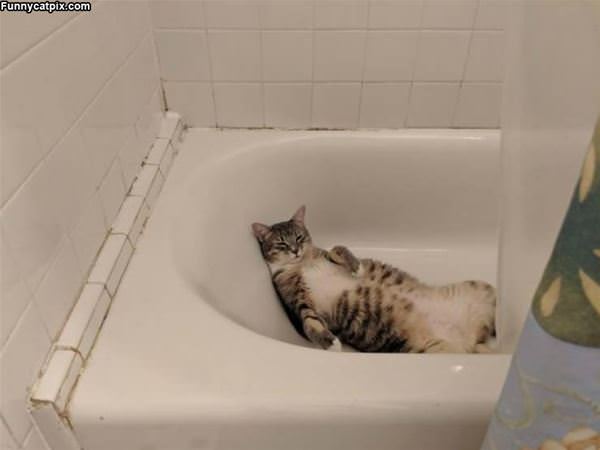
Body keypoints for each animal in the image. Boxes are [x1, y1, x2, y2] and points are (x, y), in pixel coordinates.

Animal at [251, 206, 494, 354]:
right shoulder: (296, 301)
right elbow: (310, 323)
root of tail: (471, 340)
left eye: (299, 237)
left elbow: (338, 248)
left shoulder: (325, 253)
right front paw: (331, 343)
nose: (295, 250)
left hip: (483, 289)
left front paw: (356, 266)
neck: (303, 263)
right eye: (281, 243)